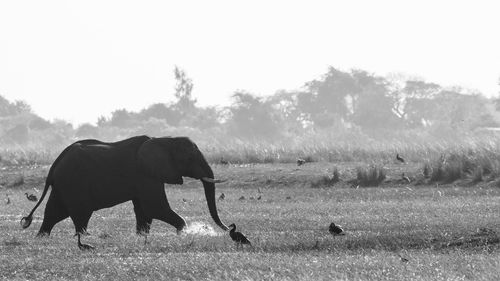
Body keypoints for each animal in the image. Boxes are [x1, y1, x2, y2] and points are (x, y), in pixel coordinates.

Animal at [21, 135, 229, 248]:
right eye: (190, 158)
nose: (229, 228)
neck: (165, 140)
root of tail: (55, 164)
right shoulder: (146, 175)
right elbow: (155, 207)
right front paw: (183, 232)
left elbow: (144, 211)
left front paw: (141, 236)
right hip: (73, 183)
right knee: (80, 214)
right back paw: (84, 238)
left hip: (64, 185)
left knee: (53, 213)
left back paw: (41, 238)